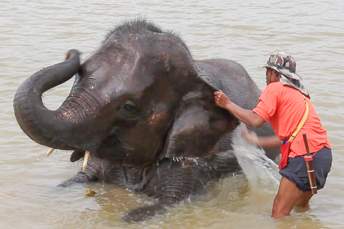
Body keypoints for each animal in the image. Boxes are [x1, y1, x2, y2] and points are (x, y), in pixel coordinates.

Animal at [13, 20, 280, 222]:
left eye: (129, 107)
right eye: (80, 76)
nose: (72, 53)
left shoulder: (195, 161)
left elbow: (164, 204)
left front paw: (128, 216)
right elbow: (76, 180)